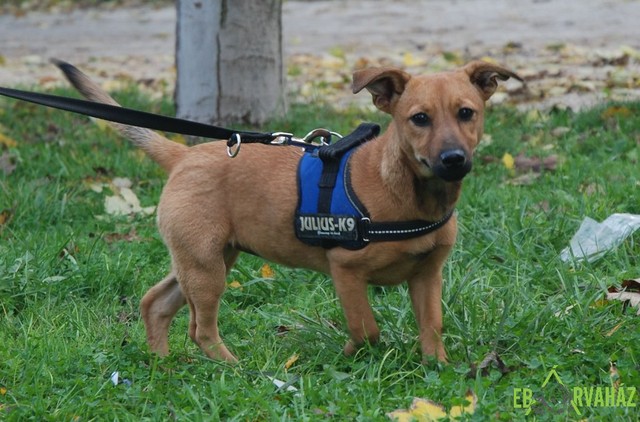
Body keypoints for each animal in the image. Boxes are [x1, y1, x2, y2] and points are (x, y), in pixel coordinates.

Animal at [56, 59, 520, 363]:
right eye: (419, 119)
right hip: (207, 268)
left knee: (156, 303)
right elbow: (366, 329)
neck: (409, 190)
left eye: (466, 113)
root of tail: (184, 156)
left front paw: (437, 369)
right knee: (200, 328)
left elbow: (431, 327)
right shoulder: (346, 271)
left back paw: (162, 366)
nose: (454, 160)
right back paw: (235, 369)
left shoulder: (427, 275)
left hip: (205, 257)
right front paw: (349, 354)